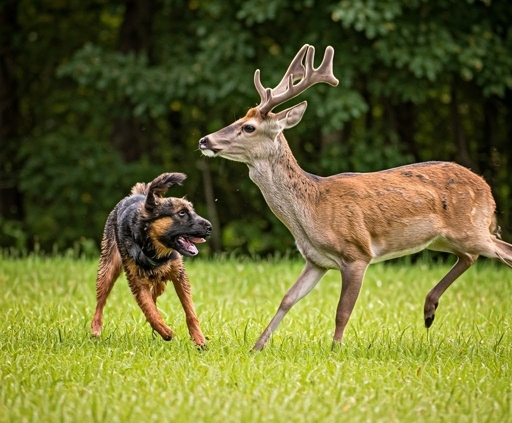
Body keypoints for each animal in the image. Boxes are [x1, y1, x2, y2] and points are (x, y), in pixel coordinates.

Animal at [90, 173, 212, 348]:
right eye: (181, 213)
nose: (210, 227)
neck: (154, 248)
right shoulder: (137, 282)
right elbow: (150, 311)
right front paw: (165, 331)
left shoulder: (179, 275)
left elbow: (190, 310)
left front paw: (199, 339)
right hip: (108, 268)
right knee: (100, 301)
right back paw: (96, 329)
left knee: (156, 291)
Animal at [198, 44, 512, 352]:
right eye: (237, 119)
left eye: (249, 127)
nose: (204, 140)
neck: (311, 211)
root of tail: (486, 188)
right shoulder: (316, 260)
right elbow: (287, 298)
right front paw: (257, 347)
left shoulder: (357, 254)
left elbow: (342, 310)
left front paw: (335, 351)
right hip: (443, 239)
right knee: (469, 256)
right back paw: (429, 310)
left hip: (471, 228)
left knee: (502, 251)